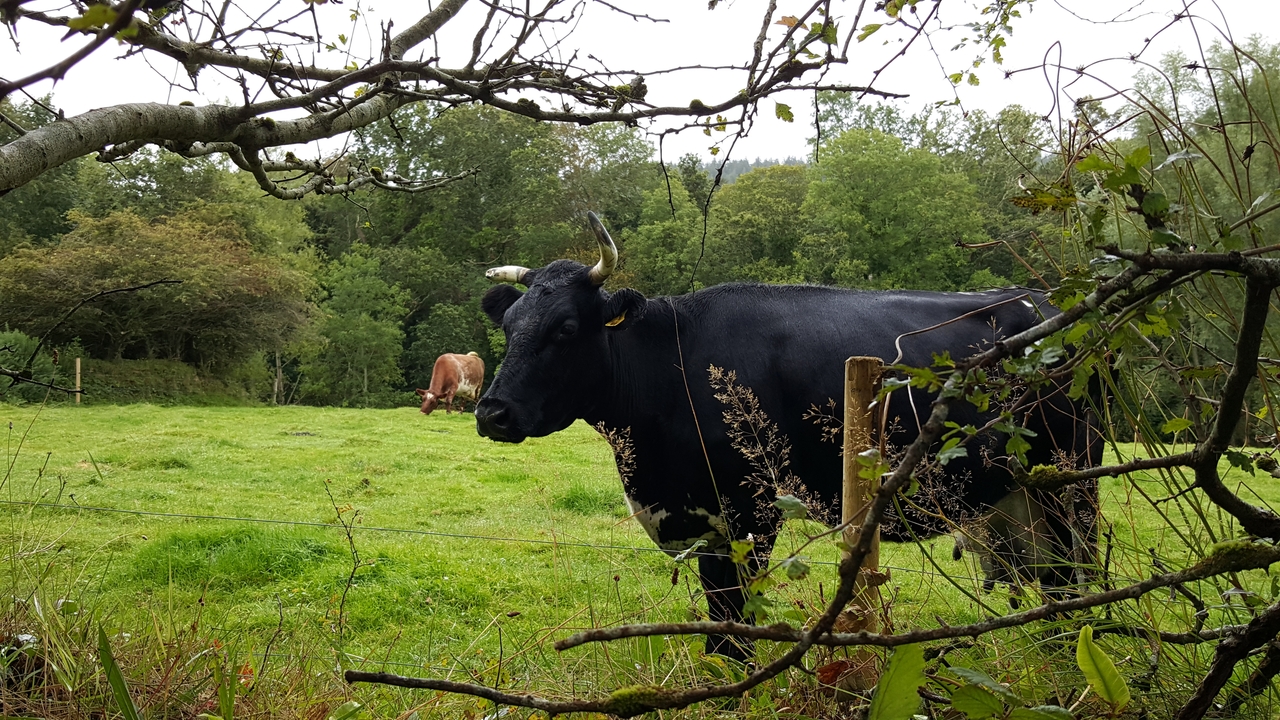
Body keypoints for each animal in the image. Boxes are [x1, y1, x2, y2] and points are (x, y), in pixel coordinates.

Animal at [475, 212, 1100, 661]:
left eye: (566, 328)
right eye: (508, 325)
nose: (491, 413)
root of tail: (1044, 299)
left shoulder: (750, 510)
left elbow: (737, 610)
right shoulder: (703, 519)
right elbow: (717, 613)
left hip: (1071, 476)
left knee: (1081, 567)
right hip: (1018, 495)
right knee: (1053, 577)